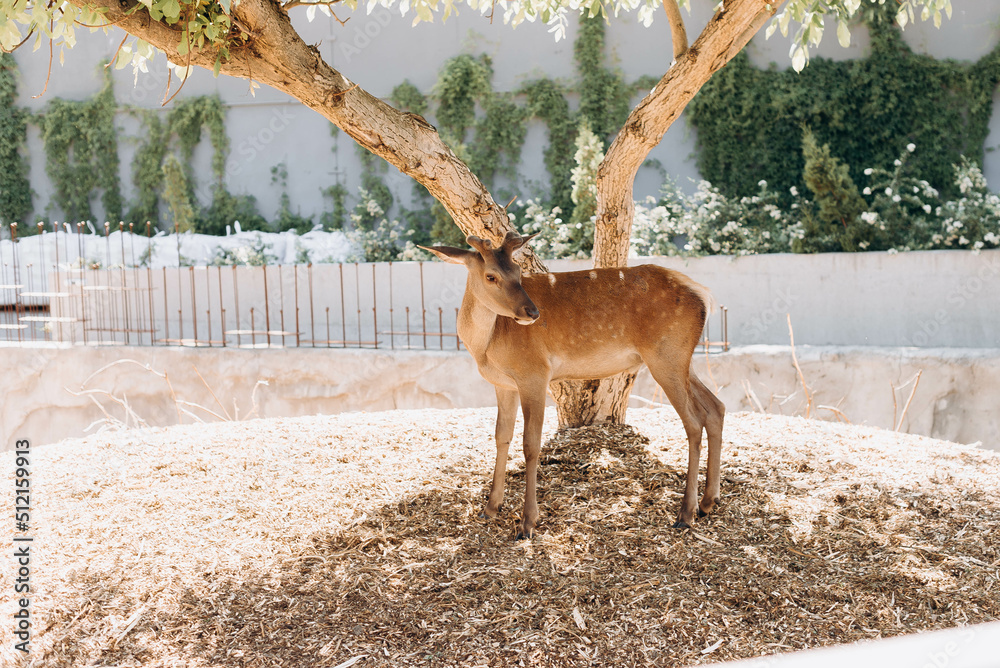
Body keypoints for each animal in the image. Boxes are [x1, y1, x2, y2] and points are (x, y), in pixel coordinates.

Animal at [422, 232, 728, 540]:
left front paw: (527, 523)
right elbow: (501, 437)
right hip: (681, 359)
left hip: (666, 355)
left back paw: (686, 513)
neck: (486, 347)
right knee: (716, 406)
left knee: (694, 420)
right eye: (491, 276)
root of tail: (705, 296)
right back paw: (708, 502)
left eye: (518, 272)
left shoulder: (534, 373)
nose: (532, 312)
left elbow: (531, 444)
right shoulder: (503, 383)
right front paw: (490, 507)